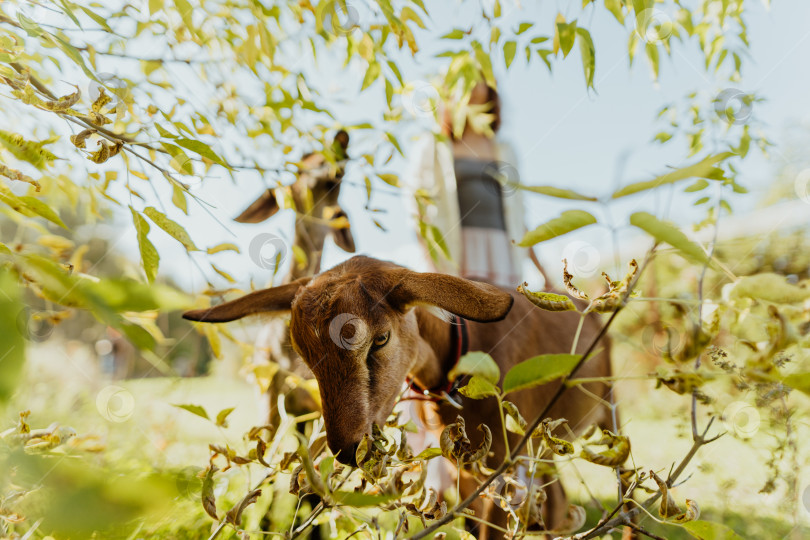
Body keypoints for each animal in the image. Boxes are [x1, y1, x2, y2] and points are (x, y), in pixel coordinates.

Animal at [186, 255, 620, 536]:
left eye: (380, 339)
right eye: (304, 355)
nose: (349, 448)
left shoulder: (503, 465)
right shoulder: (466, 465)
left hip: (606, 412)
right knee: (556, 500)